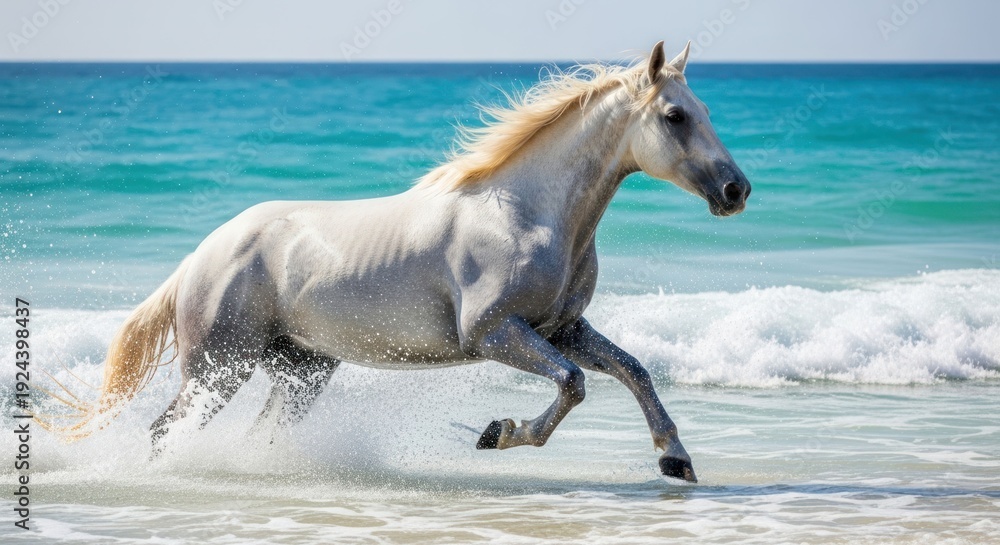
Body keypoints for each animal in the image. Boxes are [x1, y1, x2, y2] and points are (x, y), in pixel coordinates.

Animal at [44, 41, 750, 483]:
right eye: (675, 115)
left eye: (706, 111)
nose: (736, 190)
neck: (523, 214)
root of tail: (202, 253)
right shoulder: (494, 333)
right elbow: (574, 384)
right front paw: (498, 433)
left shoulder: (564, 329)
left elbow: (634, 372)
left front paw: (676, 461)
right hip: (220, 366)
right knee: (165, 429)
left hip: (300, 372)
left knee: (256, 434)